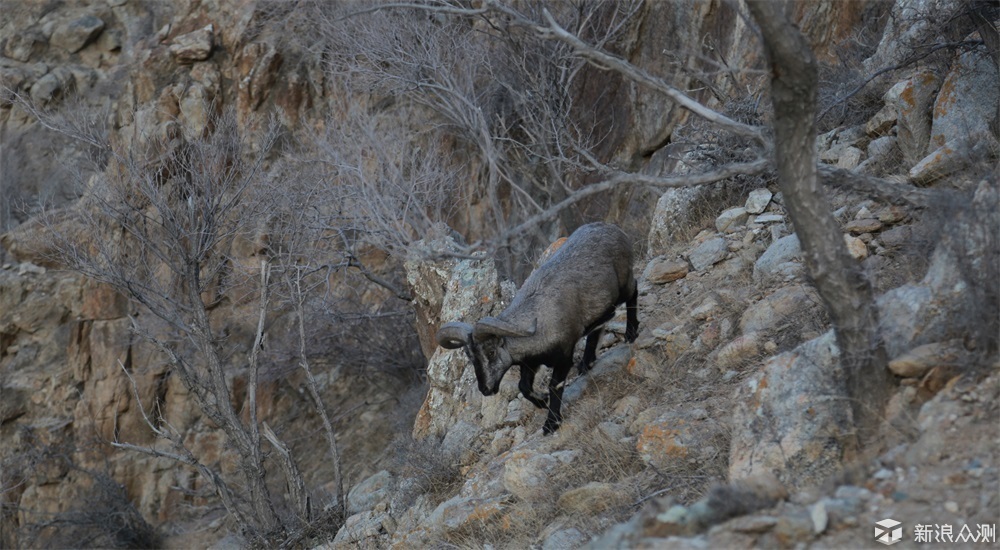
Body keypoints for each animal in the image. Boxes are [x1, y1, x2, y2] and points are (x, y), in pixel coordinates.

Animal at [438, 223, 640, 436]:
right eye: (470, 356)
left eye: (491, 351)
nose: (485, 389)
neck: (539, 322)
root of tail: (615, 230)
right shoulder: (530, 363)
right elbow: (523, 386)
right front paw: (542, 401)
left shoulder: (563, 355)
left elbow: (555, 385)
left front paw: (551, 423)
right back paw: (587, 363)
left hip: (624, 282)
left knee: (634, 290)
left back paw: (630, 333)